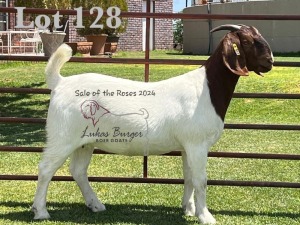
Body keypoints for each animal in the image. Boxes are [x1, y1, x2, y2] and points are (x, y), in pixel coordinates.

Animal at [31, 24, 274, 223]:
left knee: (78, 171)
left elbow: (188, 177)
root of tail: (60, 83)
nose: (270, 62)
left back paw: (96, 205)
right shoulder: (197, 144)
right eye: (246, 41)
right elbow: (201, 180)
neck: (207, 89)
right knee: (46, 168)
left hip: (84, 141)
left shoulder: (187, 146)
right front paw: (206, 217)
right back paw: (41, 211)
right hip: (62, 136)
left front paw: (188, 209)